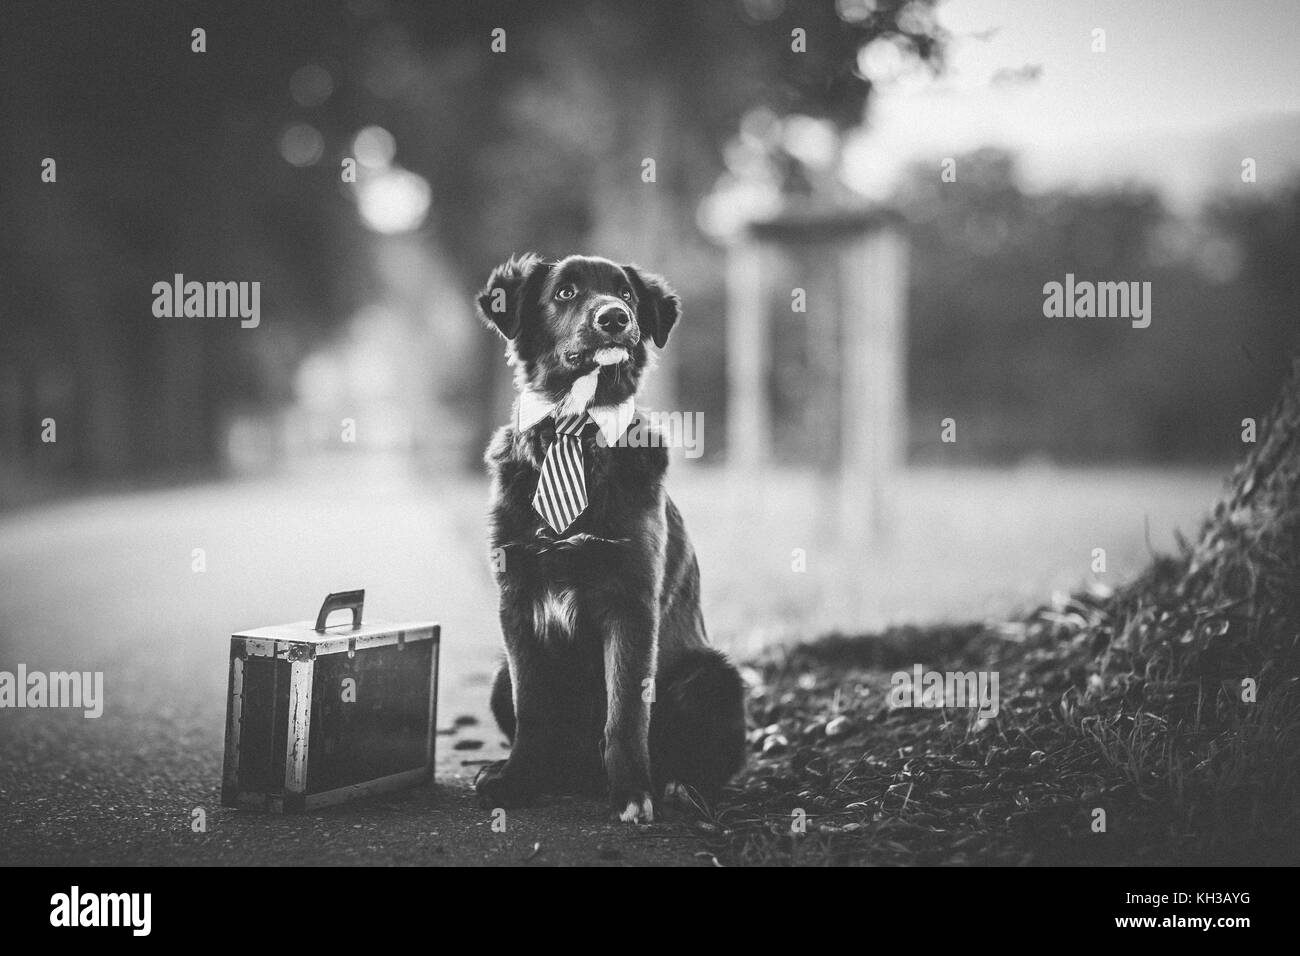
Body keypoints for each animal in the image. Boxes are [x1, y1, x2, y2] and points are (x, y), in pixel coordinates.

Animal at [473, 252, 748, 822]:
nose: (616, 318)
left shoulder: (630, 603)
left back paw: (680, 787)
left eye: (625, 293)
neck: (573, 430)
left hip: (714, 678)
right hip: (497, 677)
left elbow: (624, 713)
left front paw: (632, 793)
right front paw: (516, 780)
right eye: (565, 292)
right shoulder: (517, 602)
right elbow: (532, 708)